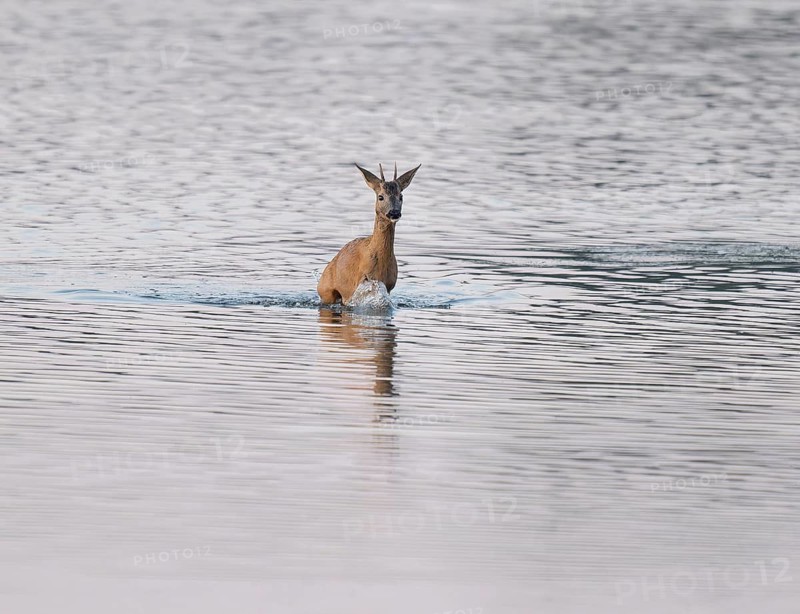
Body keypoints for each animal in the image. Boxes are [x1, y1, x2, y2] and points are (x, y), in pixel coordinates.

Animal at [317, 162, 421, 305]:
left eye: (401, 196)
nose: (394, 213)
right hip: (326, 291)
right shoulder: (359, 282)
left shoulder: (389, 285)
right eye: (380, 197)